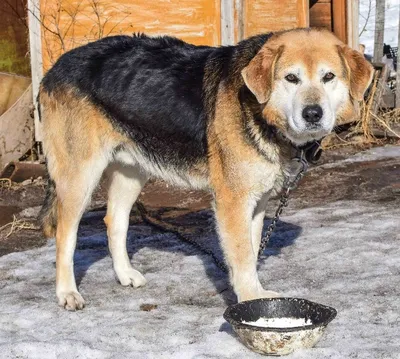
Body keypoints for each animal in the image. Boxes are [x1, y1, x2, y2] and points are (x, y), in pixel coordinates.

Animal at [37, 28, 372, 310]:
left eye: (328, 77)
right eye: (291, 78)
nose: (313, 114)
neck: (258, 109)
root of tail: (54, 68)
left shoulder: (257, 202)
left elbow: (250, 252)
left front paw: (253, 296)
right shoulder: (232, 202)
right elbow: (242, 256)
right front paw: (251, 302)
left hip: (132, 171)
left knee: (114, 222)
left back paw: (124, 274)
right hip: (80, 177)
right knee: (65, 235)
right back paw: (67, 292)